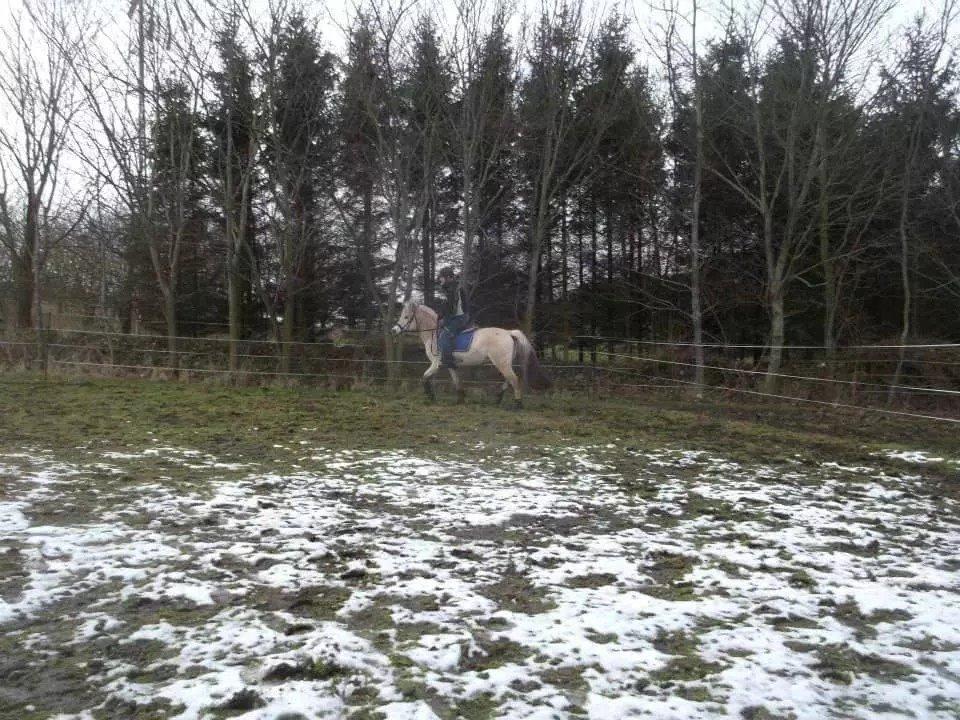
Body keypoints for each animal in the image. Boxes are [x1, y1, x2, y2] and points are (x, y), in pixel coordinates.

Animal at [390, 300, 552, 408]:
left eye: (406, 317)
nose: (394, 330)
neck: (434, 333)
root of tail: (509, 333)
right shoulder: (450, 365)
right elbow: (456, 381)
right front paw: (460, 399)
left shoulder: (436, 363)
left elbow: (424, 378)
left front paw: (430, 397)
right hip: (504, 363)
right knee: (509, 379)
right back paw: (497, 399)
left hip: (501, 363)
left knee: (514, 380)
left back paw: (517, 405)